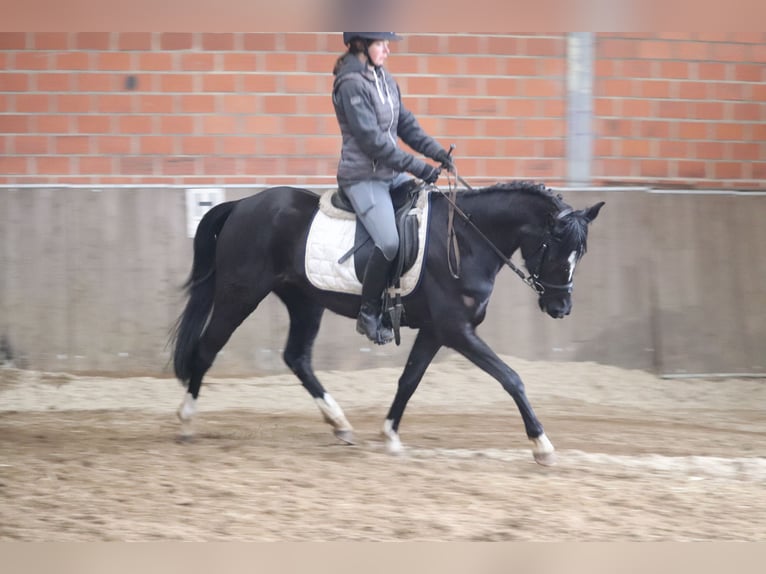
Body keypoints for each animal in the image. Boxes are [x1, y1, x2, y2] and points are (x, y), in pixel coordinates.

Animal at [172, 181, 608, 468]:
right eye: (555, 247)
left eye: (581, 253)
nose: (561, 307)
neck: (466, 239)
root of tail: (243, 204)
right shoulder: (456, 330)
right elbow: (511, 378)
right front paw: (542, 445)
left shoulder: (435, 331)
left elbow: (409, 380)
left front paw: (390, 435)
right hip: (240, 294)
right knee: (206, 349)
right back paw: (186, 421)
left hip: (304, 301)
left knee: (297, 357)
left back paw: (340, 424)